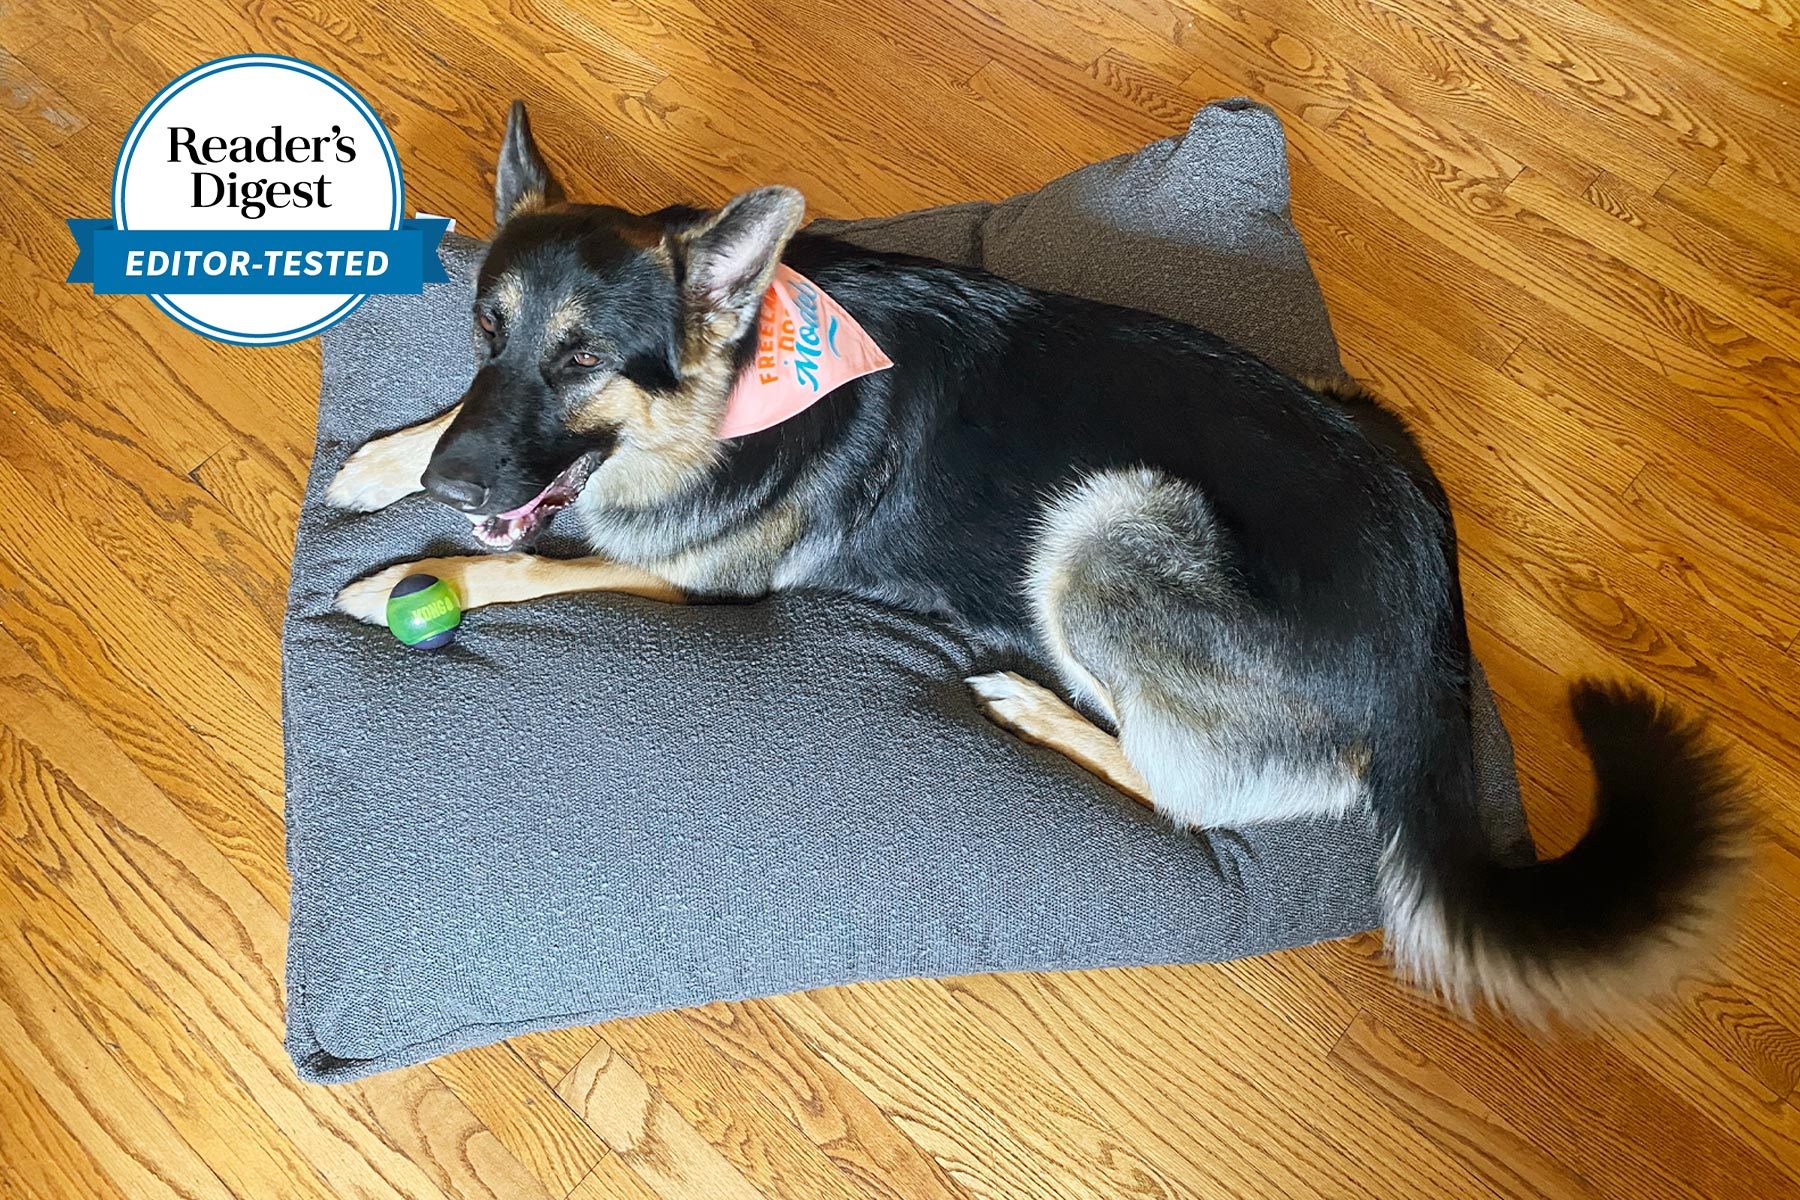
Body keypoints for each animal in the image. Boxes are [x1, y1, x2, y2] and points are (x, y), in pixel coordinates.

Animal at [331, 105, 1749, 1021]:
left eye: (581, 360)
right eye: (487, 331)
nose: (453, 491)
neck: (732, 387)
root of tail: (1432, 656)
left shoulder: (688, 581)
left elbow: (533, 566)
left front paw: (397, 578)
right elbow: (458, 449)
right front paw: (380, 462)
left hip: (1111, 523)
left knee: (1200, 797)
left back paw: (1032, 703)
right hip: (1361, 418)